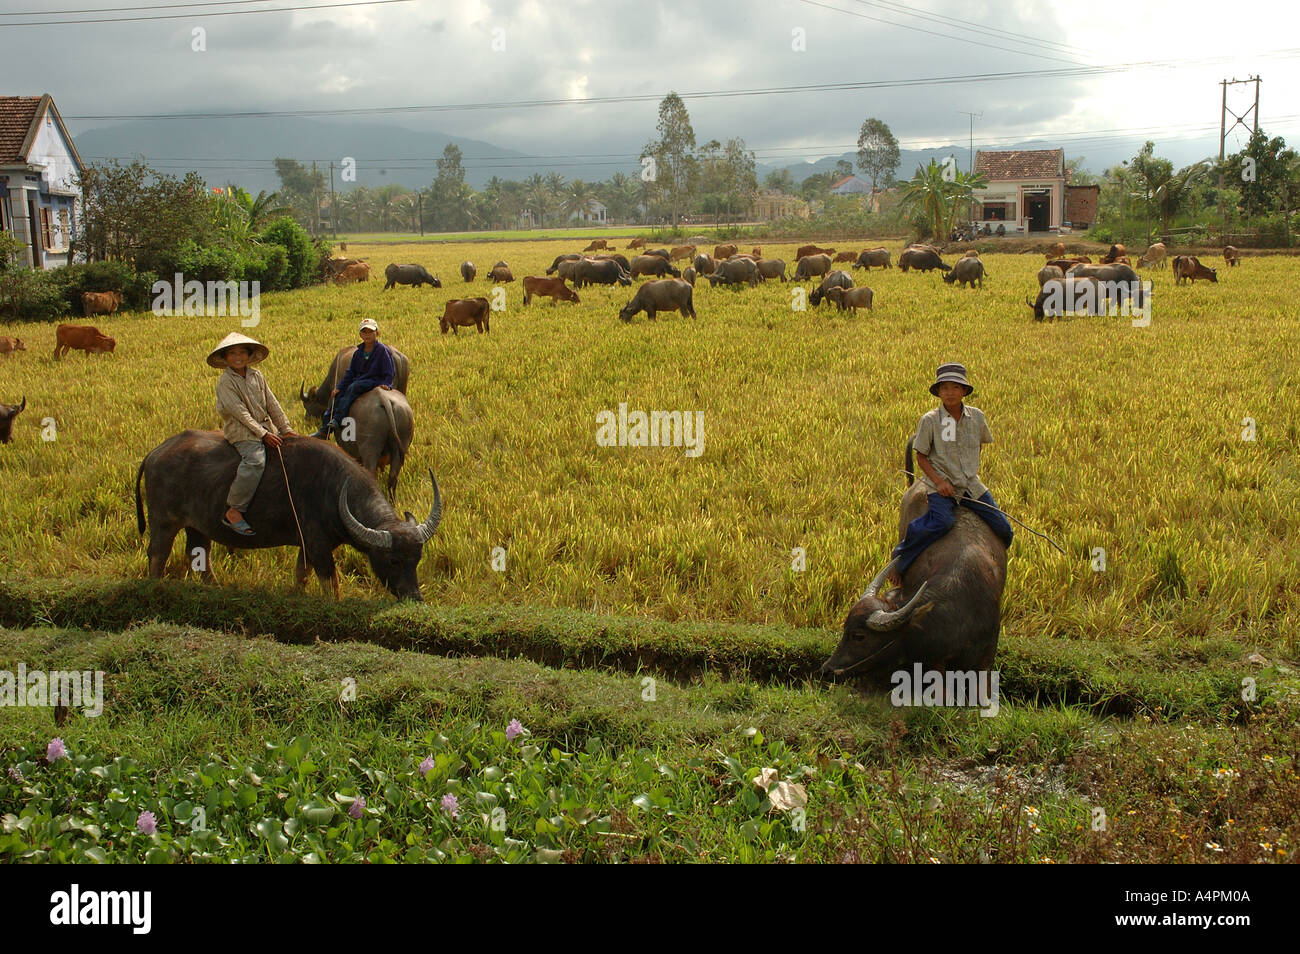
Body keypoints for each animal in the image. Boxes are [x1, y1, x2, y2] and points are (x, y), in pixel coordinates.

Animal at [136, 428, 441, 600]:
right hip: (163, 522)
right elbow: (331, 585)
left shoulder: (306, 547)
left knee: (199, 553)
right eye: (393, 560)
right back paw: (154, 586)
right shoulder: (318, 548)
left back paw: (216, 587)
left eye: (417, 558)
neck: (331, 489)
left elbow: (300, 575)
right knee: (158, 554)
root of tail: (155, 453)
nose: (414, 597)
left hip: (197, 526)